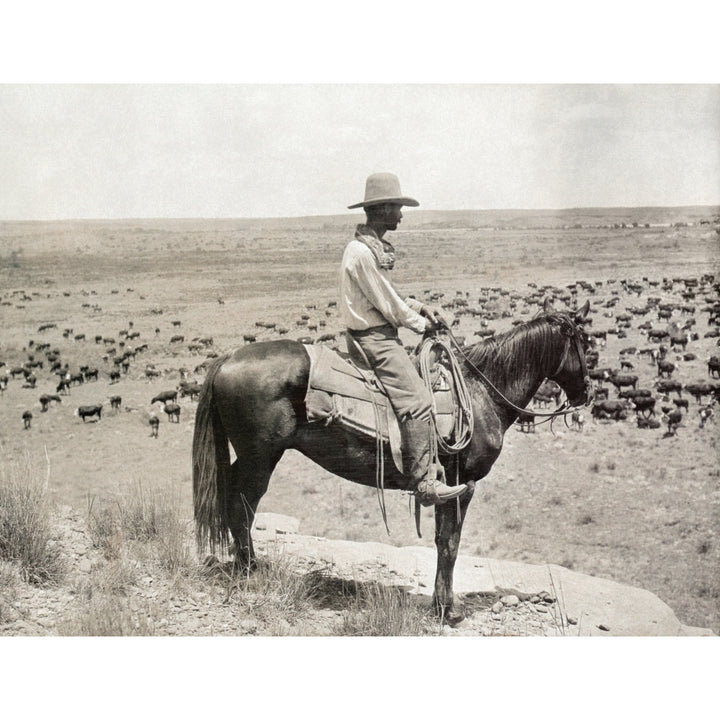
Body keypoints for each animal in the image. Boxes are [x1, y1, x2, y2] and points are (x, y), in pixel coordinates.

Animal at [191, 300, 592, 624]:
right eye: (585, 344)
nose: (587, 394)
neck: (481, 394)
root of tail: (228, 358)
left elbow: (443, 541)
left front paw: (441, 604)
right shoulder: (461, 486)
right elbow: (450, 544)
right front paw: (446, 610)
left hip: (251, 457)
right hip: (260, 458)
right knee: (242, 505)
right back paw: (250, 571)